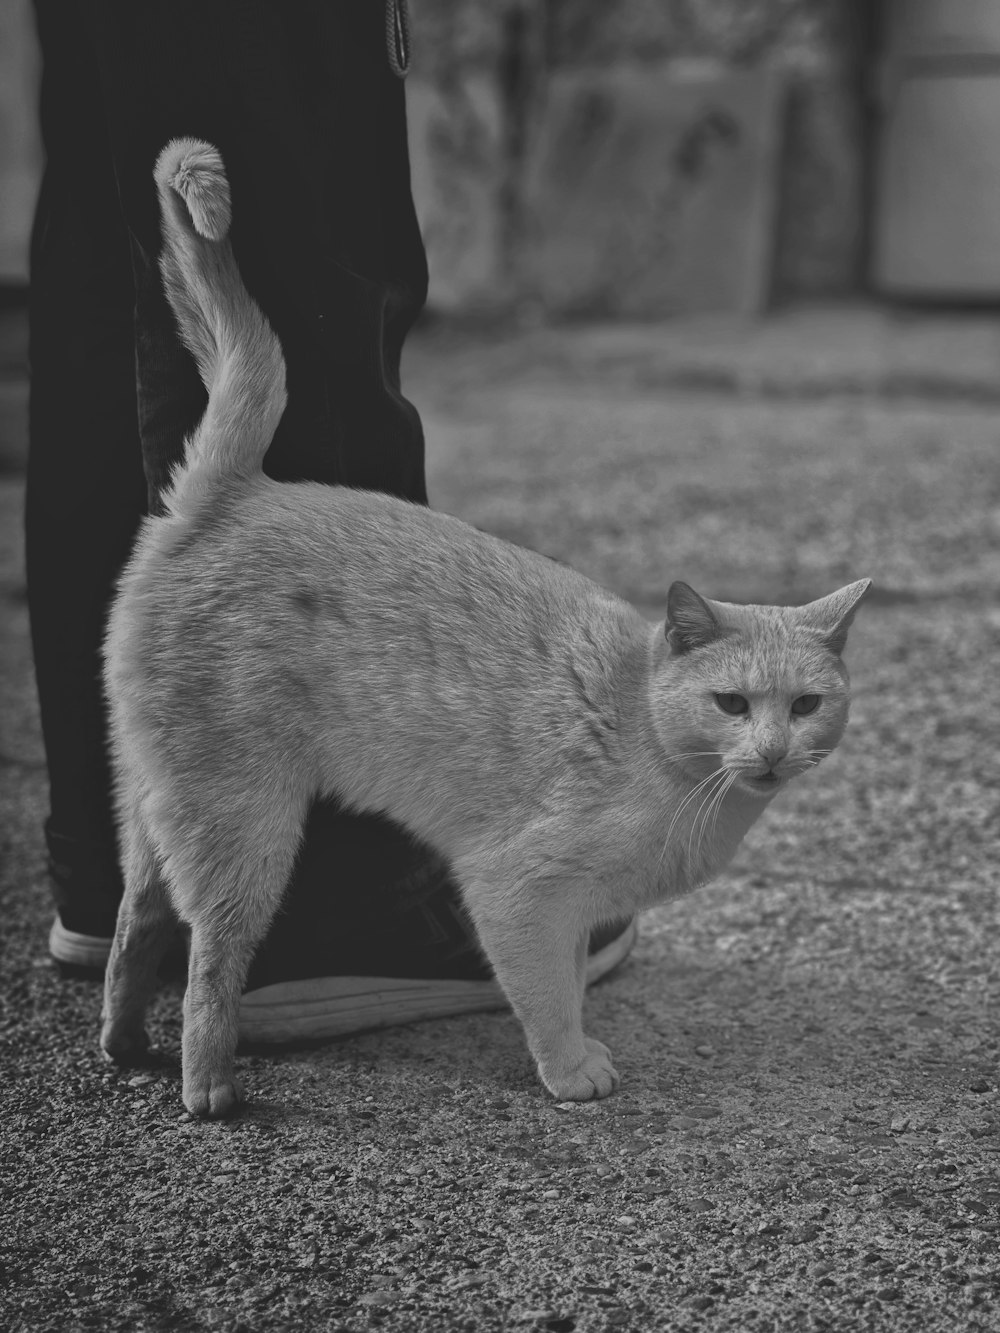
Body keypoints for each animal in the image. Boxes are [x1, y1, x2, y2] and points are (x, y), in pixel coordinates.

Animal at [98, 137, 874, 1114]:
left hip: (156, 800)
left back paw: (124, 1042)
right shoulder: (517, 889)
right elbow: (546, 994)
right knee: (208, 956)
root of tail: (235, 490)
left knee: (135, 925)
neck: (668, 763)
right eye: (732, 704)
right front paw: (572, 1070)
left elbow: (571, 976)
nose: (771, 752)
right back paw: (208, 1086)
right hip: (246, 823)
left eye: (805, 705)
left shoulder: (572, 907)